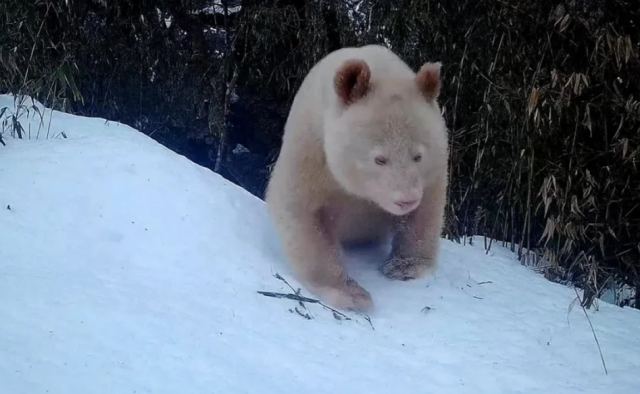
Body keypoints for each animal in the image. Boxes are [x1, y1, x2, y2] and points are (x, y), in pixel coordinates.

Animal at [264, 44, 450, 310]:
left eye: (418, 156)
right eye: (379, 159)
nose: (406, 200)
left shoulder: (434, 167)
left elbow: (426, 210)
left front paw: (405, 267)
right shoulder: (312, 147)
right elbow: (302, 211)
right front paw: (352, 295)